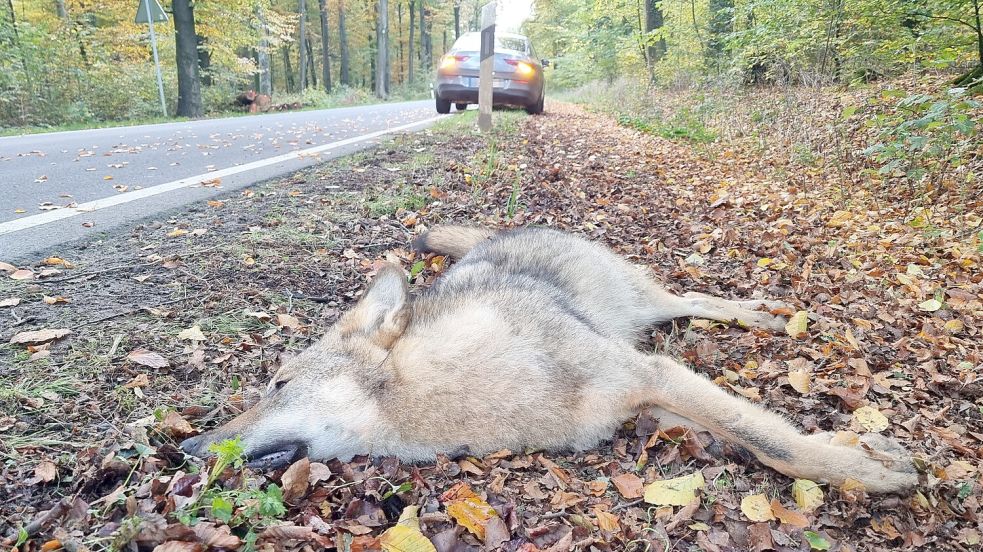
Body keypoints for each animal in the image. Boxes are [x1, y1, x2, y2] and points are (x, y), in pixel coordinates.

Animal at [181, 226, 920, 494]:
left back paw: (762, 315)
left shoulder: (648, 374)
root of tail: (506, 229)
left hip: (644, 306)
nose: (184, 450)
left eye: (277, 384)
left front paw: (866, 471)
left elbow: (777, 443)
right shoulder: (651, 400)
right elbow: (758, 433)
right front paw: (858, 453)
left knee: (693, 297)